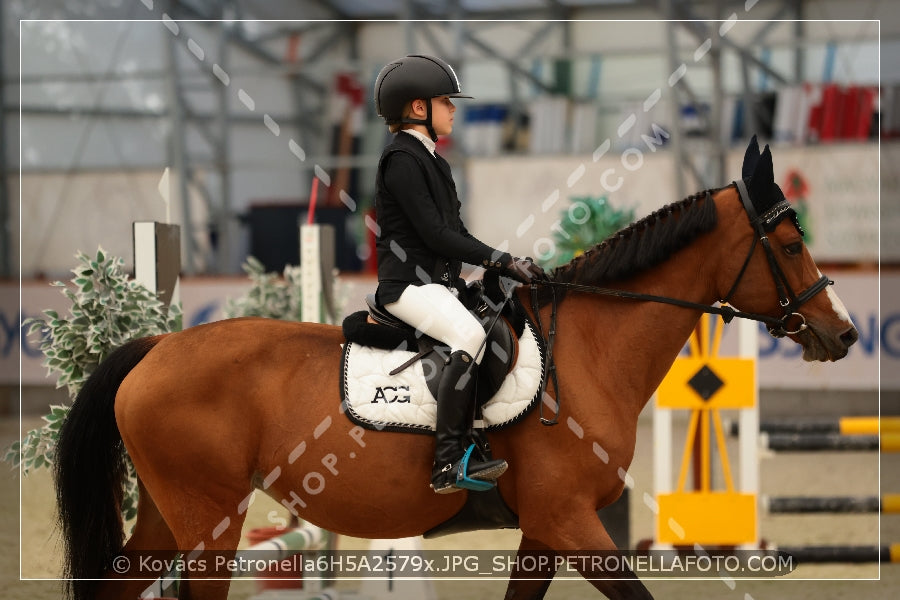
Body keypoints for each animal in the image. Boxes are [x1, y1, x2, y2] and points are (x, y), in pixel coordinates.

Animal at [54, 138, 856, 596]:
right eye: (790, 244)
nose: (843, 334)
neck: (590, 350)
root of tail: (158, 346)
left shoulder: (546, 530)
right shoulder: (571, 521)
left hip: (170, 515)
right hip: (209, 522)